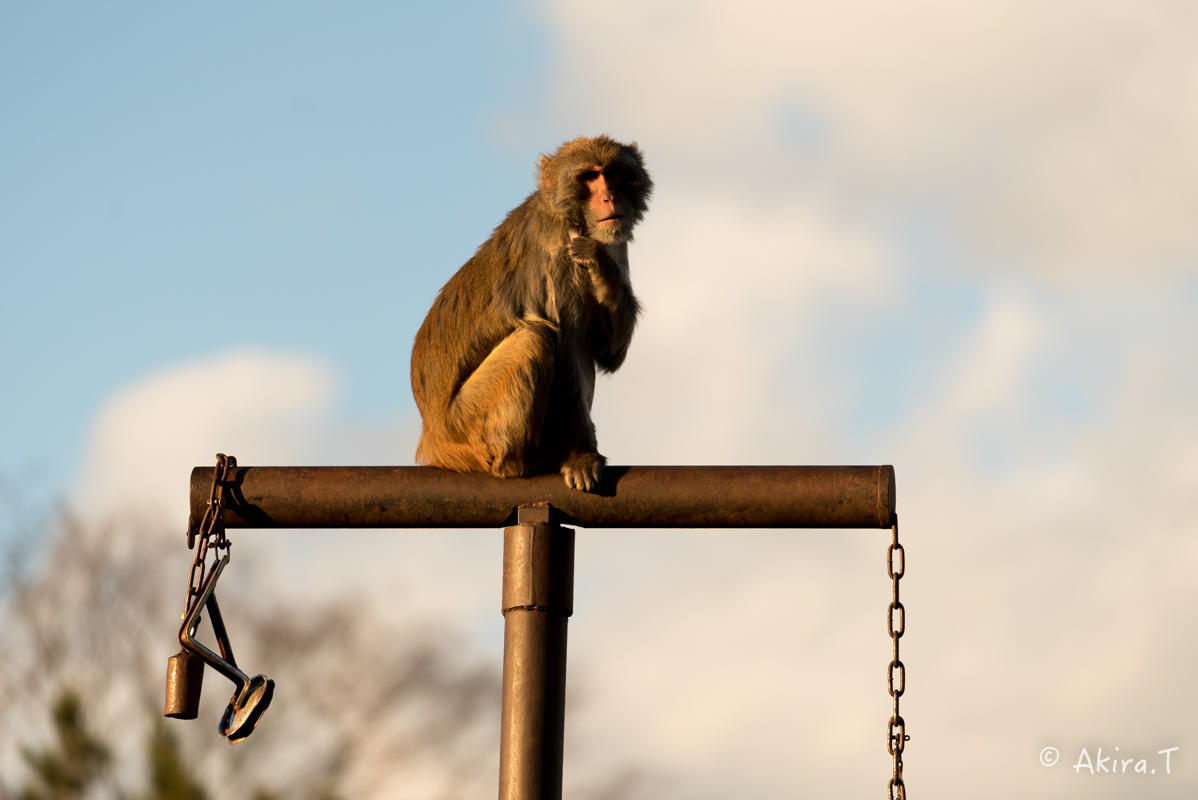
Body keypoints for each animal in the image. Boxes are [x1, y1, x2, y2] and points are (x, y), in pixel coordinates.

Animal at [412, 134, 656, 491]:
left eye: (614, 173)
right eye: (589, 177)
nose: (610, 197)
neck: (569, 217)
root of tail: (432, 436)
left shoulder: (611, 242)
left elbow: (606, 352)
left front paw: (599, 262)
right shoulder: (556, 256)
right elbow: (565, 346)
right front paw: (582, 456)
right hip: (468, 427)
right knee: (535, 337)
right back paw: (525, 462)